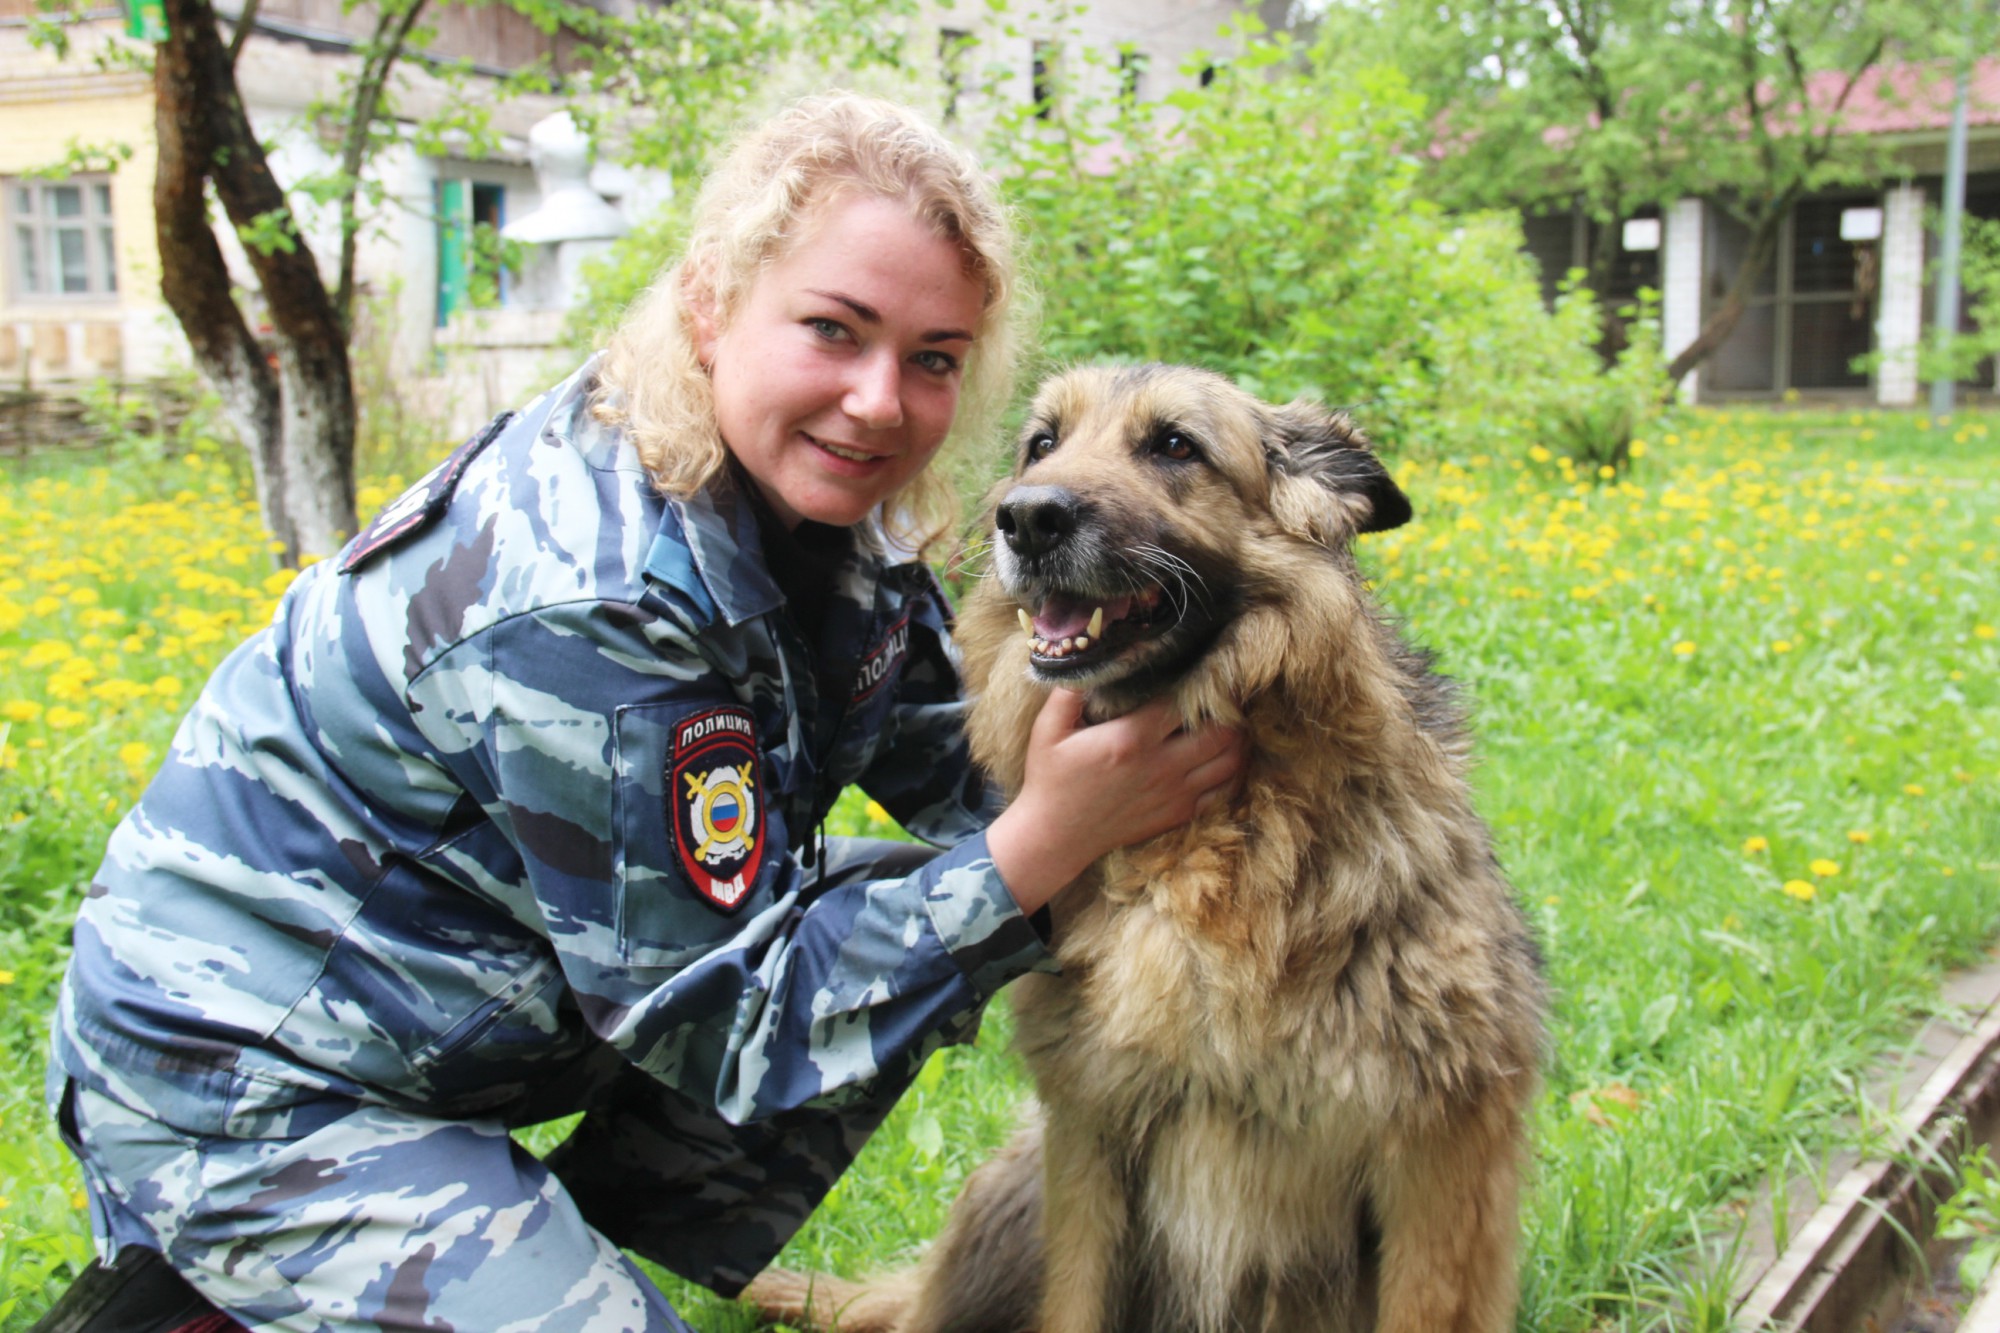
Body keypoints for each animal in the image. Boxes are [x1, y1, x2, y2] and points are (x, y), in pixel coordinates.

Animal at [748, 364, 1544, 1328]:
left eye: (1174, 445)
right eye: (1042, 444)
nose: (1027, 518)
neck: (1211, 842)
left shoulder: (1441, 1156)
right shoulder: (1088, 1135)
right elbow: (1075, 1304)